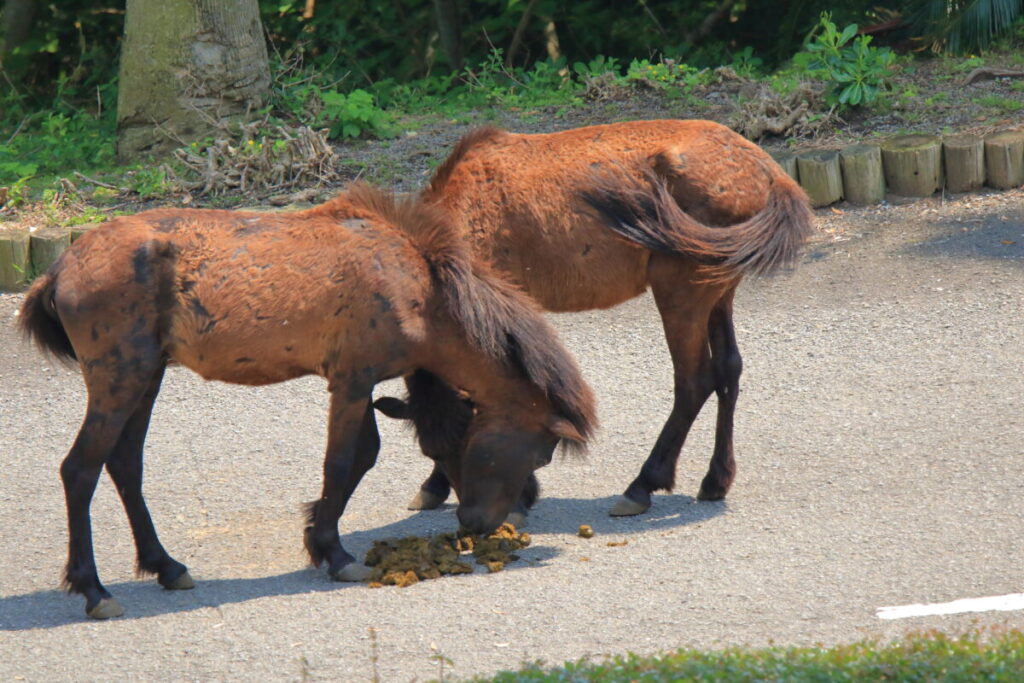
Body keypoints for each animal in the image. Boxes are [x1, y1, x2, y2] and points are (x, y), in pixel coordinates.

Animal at [18, 183, 595, 619]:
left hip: (147, 377)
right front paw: (335, 553)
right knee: (80, 470)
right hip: (119, 379)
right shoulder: (352, 381)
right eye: (541, 452)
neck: (416, 286)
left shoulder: (362, 383)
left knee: (124, 465)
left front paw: (318, 534)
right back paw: (93, 590)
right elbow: (340, 463)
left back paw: (167, 566)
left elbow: (361, 458)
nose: (485, 523)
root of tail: (61, 268)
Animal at [385, 119, 814, 518]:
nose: (474, 509)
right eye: (432, 450)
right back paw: (716, 480)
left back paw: (643, 485)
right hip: (718, 290)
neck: (466, 216)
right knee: (728, 369)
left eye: (470, 444)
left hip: (681, 289)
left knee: (694, 382)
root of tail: (769, 173)